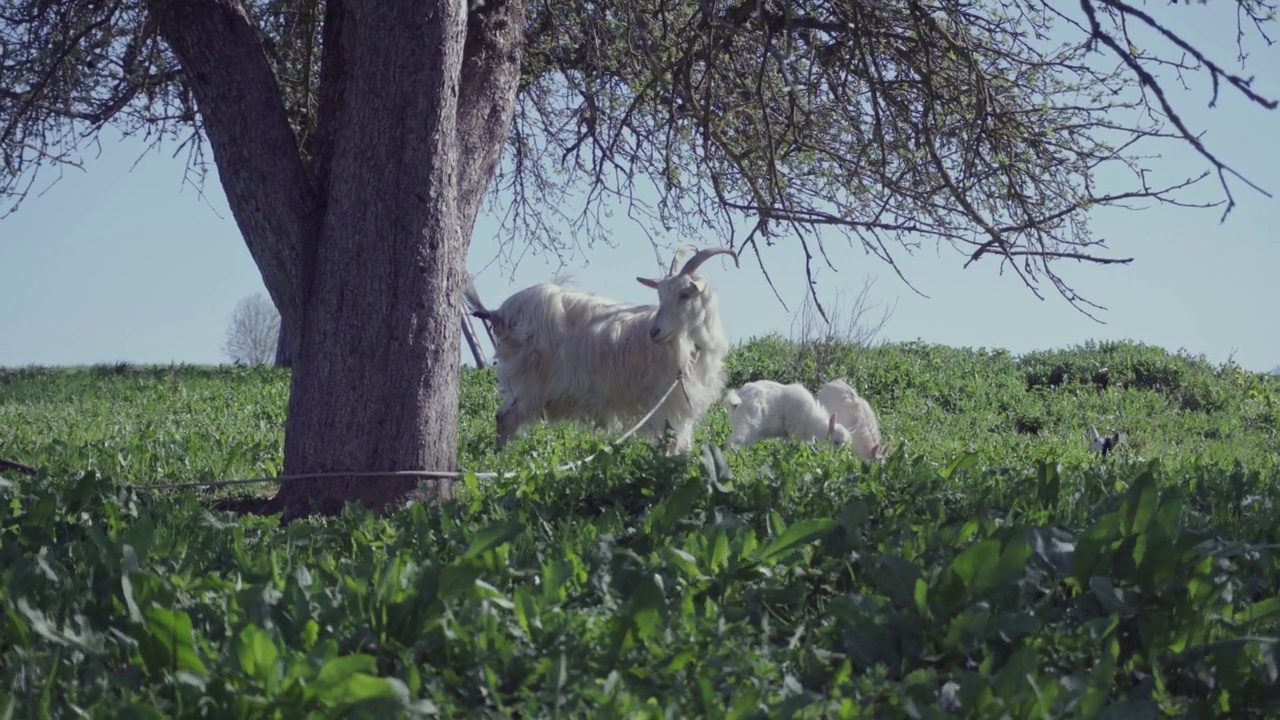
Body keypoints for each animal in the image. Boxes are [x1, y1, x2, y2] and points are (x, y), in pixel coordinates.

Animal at [465, 243, 737, 450]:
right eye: (661, 295)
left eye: (684, 294)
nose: (654, 332)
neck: (693, 347)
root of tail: (502, 313)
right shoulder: (666, 400)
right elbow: (669, 441)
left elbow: (681, 442)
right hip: (527, 382)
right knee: (505, 418)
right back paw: (501, 459)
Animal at [727, 379, 855, 445]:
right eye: (836, 442)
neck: (811, 419)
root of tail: (738, 398)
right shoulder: (796, 432)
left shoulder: (788, 436)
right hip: (745, 425)